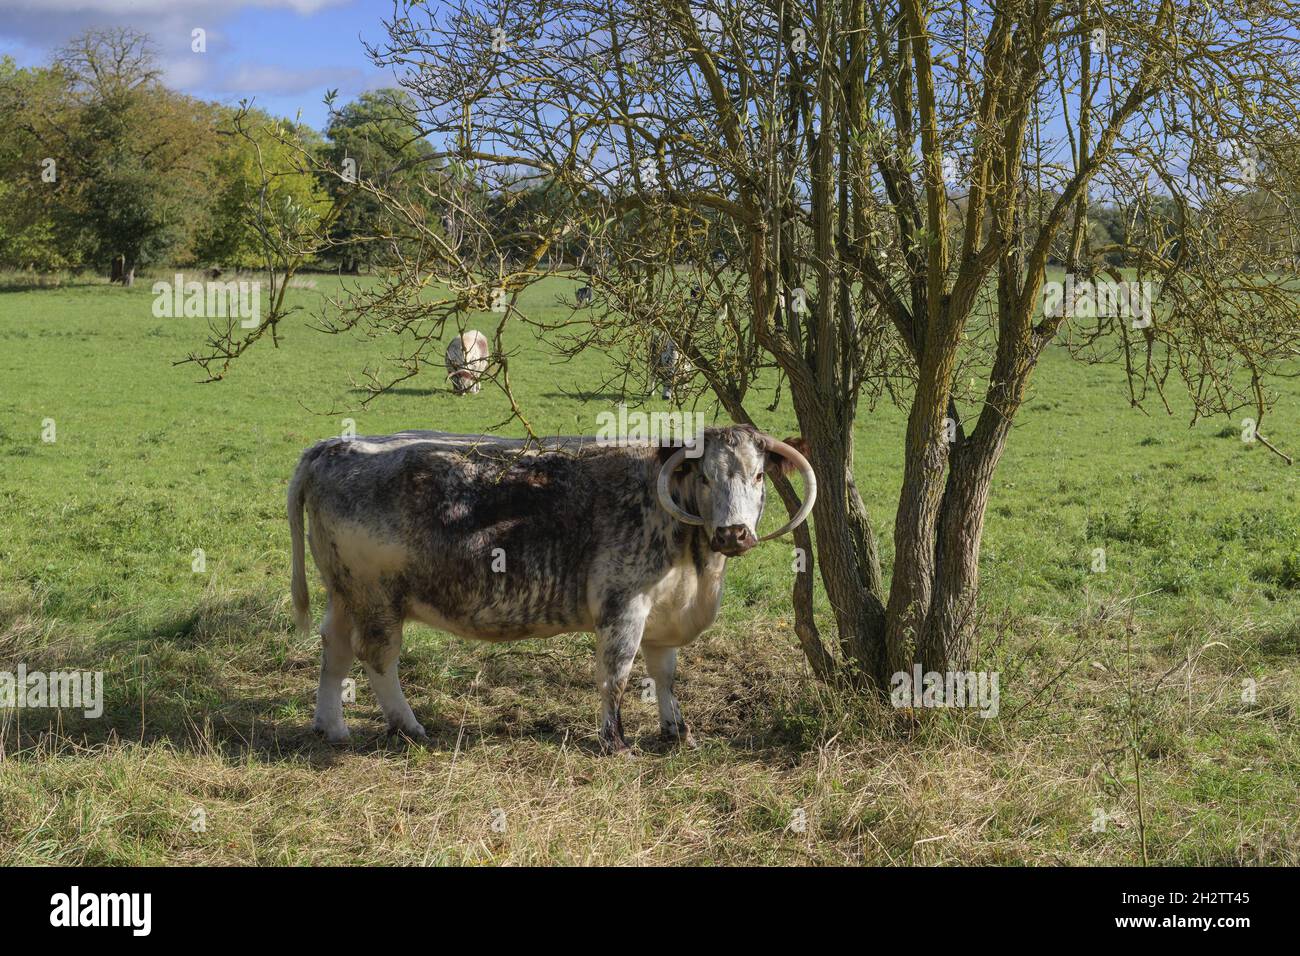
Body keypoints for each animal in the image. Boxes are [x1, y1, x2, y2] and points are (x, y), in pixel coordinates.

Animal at [287, 429, 811, 754]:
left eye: (758, 475)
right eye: (705, 476)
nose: (734, 533)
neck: (697, 567)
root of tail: (331, 447)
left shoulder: (663, 613)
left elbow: (664, 676)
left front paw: (677, 732)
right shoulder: (622, 605)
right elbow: (616, 675)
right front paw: (615, 742)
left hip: (343, 593)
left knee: (334, 647)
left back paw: (332, 727)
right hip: (376, 599)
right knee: (377, 658)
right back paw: (410, 726)